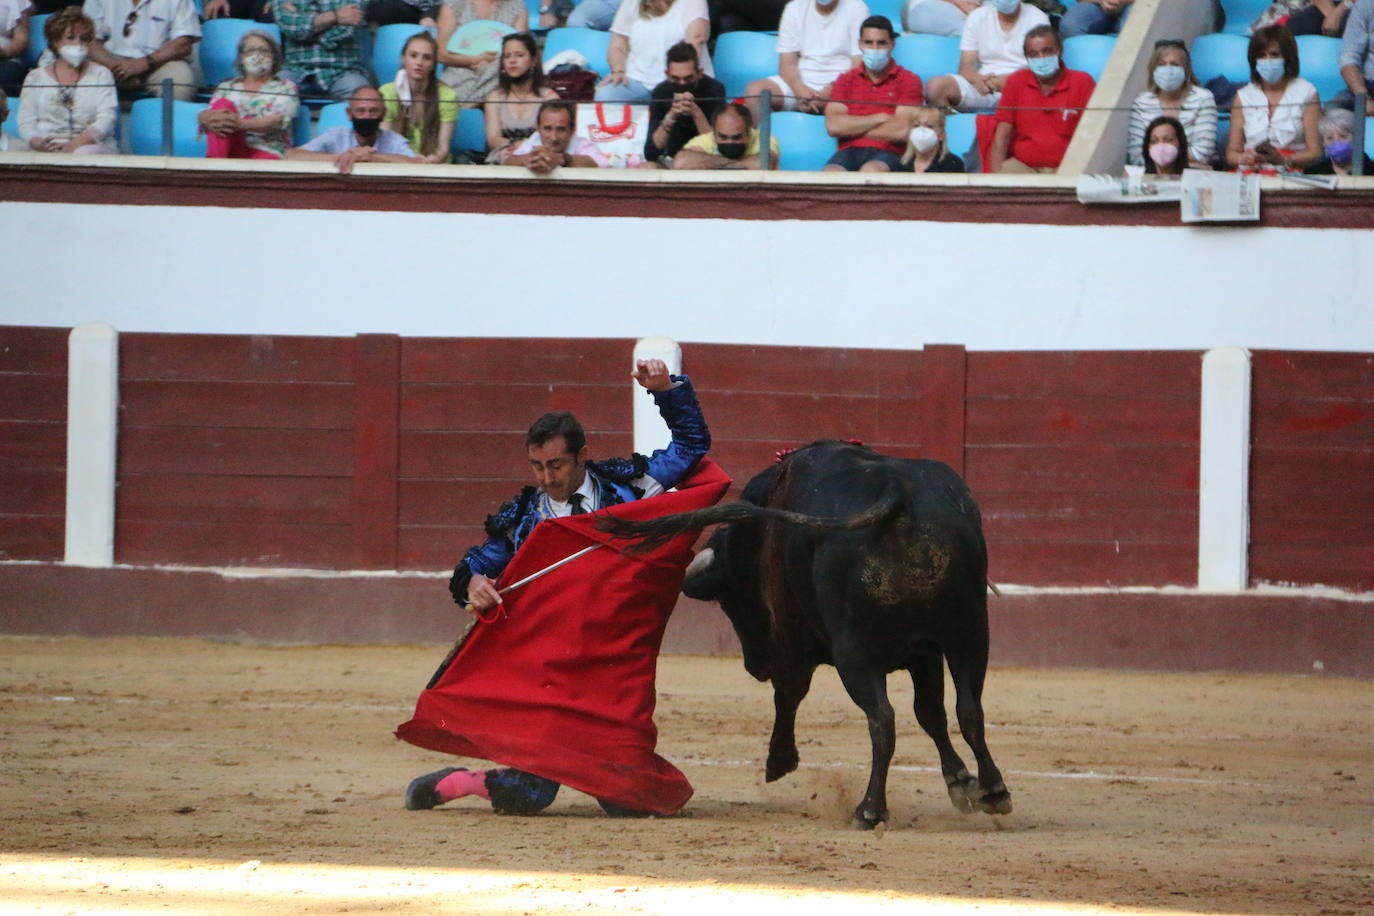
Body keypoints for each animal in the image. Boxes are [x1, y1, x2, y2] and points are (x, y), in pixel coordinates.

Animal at [601, 439, 1011, 829]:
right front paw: (961, 782)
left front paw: (779, 761)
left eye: (729, 601)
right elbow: (931, 714)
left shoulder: (789, 639)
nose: (754, 666)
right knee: (969, 709)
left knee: (882, 719)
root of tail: (898, 494)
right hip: (971, 634)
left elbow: (789, 694)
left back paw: (869, 809)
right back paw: (994, 790)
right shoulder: (924, 653)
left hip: (856, 653)